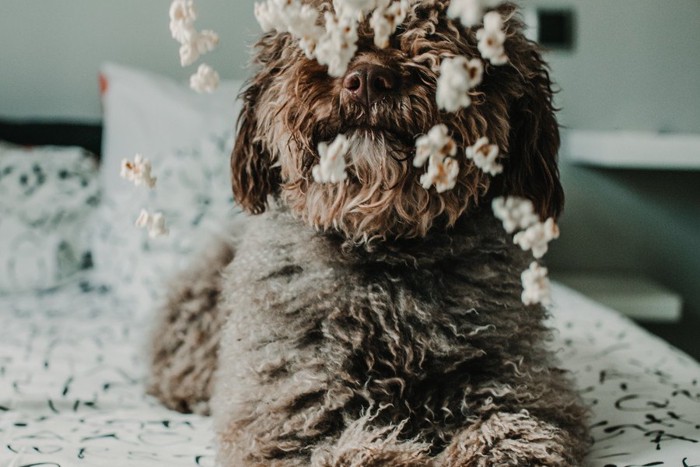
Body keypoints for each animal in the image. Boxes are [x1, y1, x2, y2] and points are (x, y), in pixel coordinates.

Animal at [148, 1, 592, 466]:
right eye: (317, 25)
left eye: (448, 28)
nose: (367, 79)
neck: (383, 259)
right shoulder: (286, 412)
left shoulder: (520, 385)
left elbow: (511, 431)